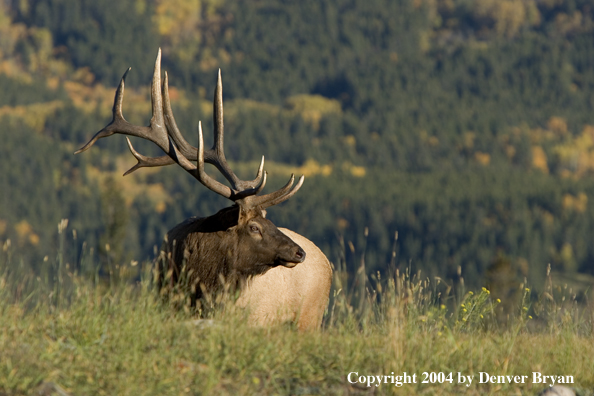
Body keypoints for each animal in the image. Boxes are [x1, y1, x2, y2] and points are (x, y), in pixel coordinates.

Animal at [74, 49, 330, 330]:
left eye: (268, 220)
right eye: (254, 227)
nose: (299, 252)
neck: (196, 283)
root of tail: (328, 265)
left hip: (310, 318)